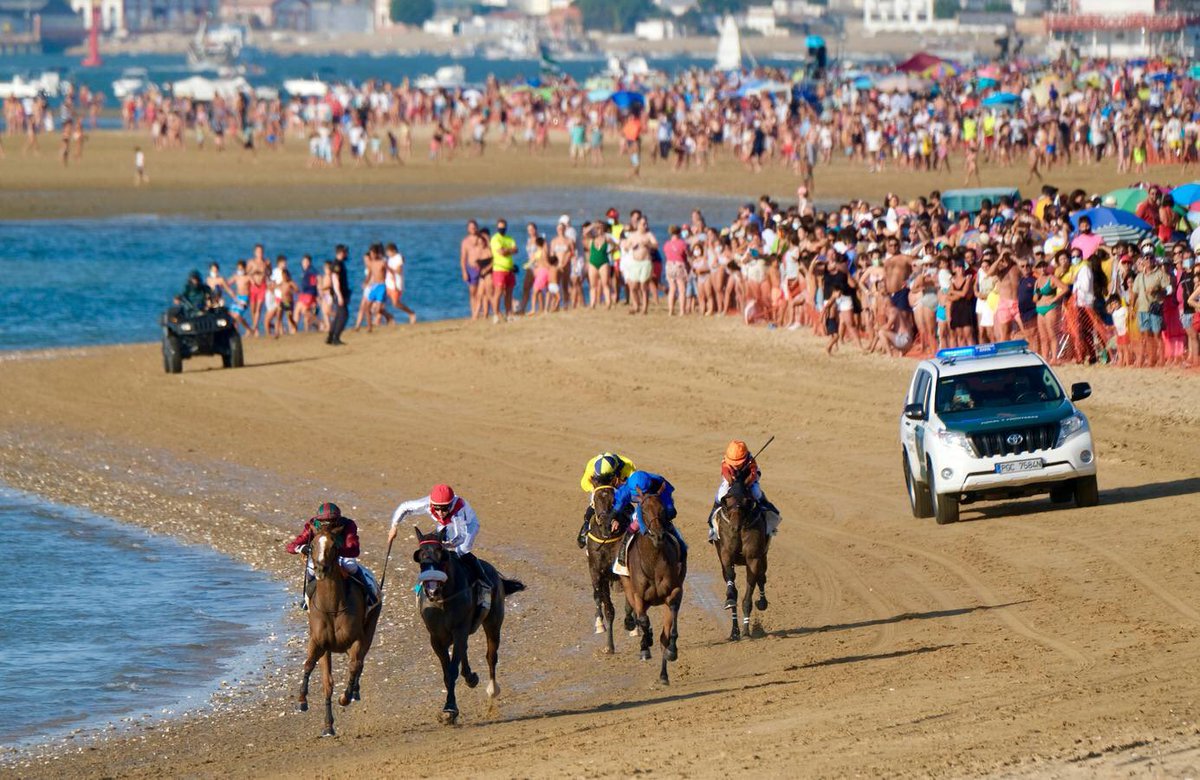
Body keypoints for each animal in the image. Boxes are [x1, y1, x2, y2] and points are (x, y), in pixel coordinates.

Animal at [297, 516, 376, 734]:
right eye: (312, 545)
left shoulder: (357, 639)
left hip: (370, 630)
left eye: (334, 546)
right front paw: (305, 702)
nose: (320, 569)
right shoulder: (320, 643)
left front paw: (345, 696)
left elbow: (354, 666)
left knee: (359, 662)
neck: (332, 607)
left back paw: (354, 691)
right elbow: (320, 676)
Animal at [412, 525, 525, 720]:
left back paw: (492, 690)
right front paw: (451, 707)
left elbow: (452, 670)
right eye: (420, 557)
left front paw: (450, 709)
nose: (432, 590)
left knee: (491, 656)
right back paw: (471, 677)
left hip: (493, 622)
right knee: (464, 650)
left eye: (442, 555)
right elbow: (447, 670)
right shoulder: (436, 637)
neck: (443, 599)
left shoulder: (460, 629)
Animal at [583, 482, 638, 652]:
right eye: (595, 498)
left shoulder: (623, 572)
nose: (606, 523)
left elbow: (630, 603)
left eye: (614, 500)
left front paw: (632, 625)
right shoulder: (598, 573)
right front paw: (609, 644)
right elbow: (607, 608)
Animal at [619, 492, 686, 681]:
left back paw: (663, 674)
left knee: (663, 636)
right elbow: (642, 619)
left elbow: (670, 624)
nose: (658, 536)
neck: (654, 562)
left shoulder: (674, 591)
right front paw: (645, 643)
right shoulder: (638, 595)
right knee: (639, 617)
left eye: (663, 509)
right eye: (643, 510)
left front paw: (672, 650)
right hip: (629, 589)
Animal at [710, 480, 768, 638]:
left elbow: (750, 588)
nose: (735, 527)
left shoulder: (754, 558)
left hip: (763, 556)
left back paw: (762, 602)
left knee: (762, 577)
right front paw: (730, 598)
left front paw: (747, 630)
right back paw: (734, 631)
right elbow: (731, 579)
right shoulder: (726, 554)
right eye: (727, 504)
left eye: (745, 504)